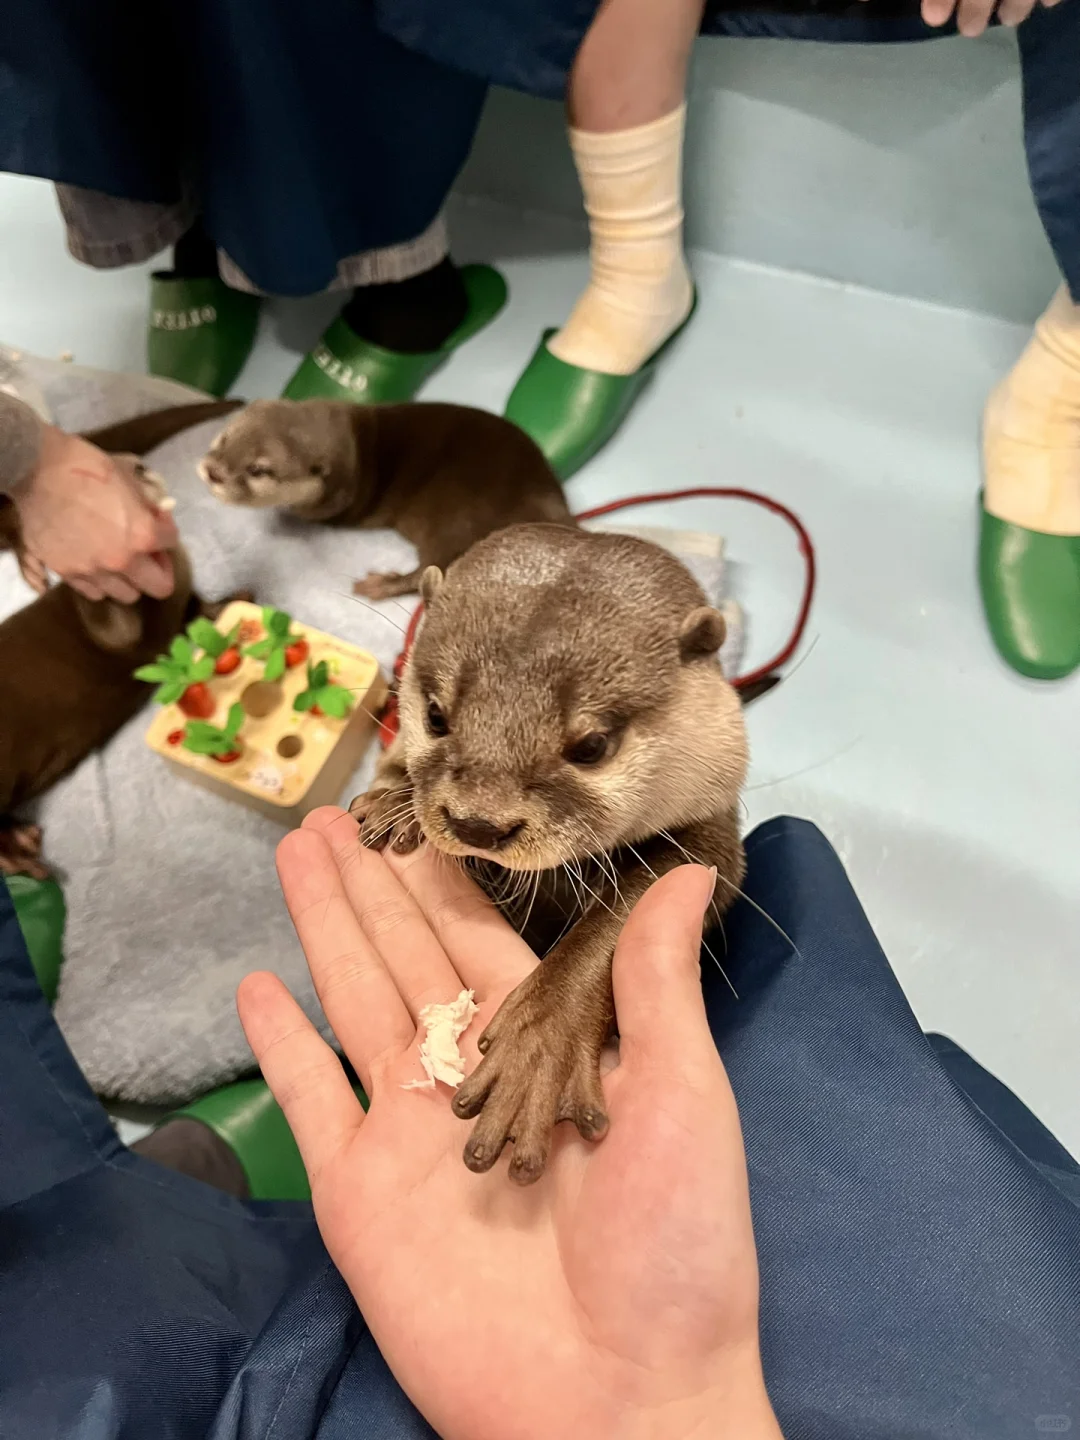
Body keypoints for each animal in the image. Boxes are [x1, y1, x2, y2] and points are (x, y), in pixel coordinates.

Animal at [197, 399, 575, 599]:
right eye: (224, 438)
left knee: (432, 572)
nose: (213, 471)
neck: (354, 451)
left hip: (460, 525)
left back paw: (378, 585)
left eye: (259, 470)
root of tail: (546, 499)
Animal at [350, 523, 748, 1186]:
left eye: (591, 745)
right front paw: (391, 804)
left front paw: (539, 1046)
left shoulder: (710, 836)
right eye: (435, 715)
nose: (478, 823)